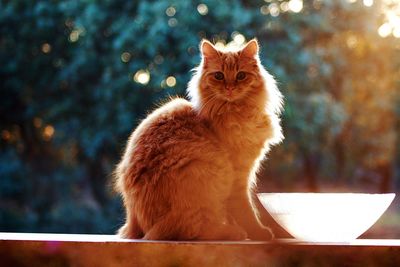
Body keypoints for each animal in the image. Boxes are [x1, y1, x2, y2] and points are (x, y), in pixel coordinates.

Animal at [115, 38, 284, 241]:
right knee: (196, 231)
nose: (230, 88)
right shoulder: (238, 178)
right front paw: (259, 232)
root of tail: (135, 224)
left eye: (241, 75)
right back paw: (233, 233)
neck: (235, 111)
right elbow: (246, 211)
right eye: (219, 76)